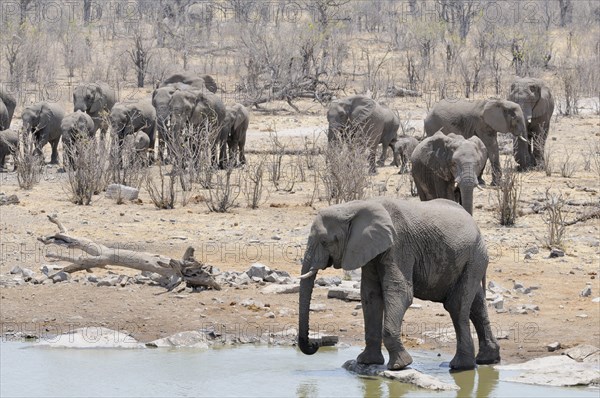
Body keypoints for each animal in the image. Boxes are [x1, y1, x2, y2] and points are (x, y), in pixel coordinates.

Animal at [300, 197, 502, 372]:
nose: (316, 344)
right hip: (471, 259)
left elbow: (400, 292)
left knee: (457, 305)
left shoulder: (399, 245)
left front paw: (399, 366)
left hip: (475, 256)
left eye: (324, 242)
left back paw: (461, 366)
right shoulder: (370, 249)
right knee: (476, 304)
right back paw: (486, 360)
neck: (356, 206)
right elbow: (370, 295)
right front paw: (367, 362)